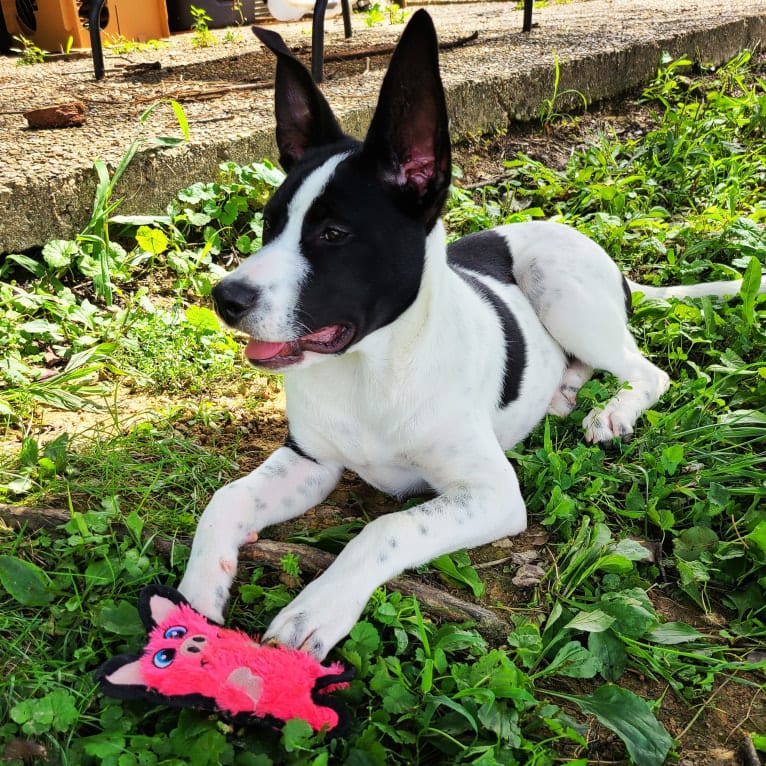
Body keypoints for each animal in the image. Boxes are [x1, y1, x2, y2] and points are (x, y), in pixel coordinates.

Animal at [178, 10, 760, 660]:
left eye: (333, 234)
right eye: (270, 223)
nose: (225, 299)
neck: (371, 372)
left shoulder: (492, 494)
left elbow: (386, 526)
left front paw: (317, 608)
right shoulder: (311, 461)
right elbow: (224, 499)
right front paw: (194, 602)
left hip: (558, 287)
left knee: (646, 371)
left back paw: (612, 412)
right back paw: (563, 391)